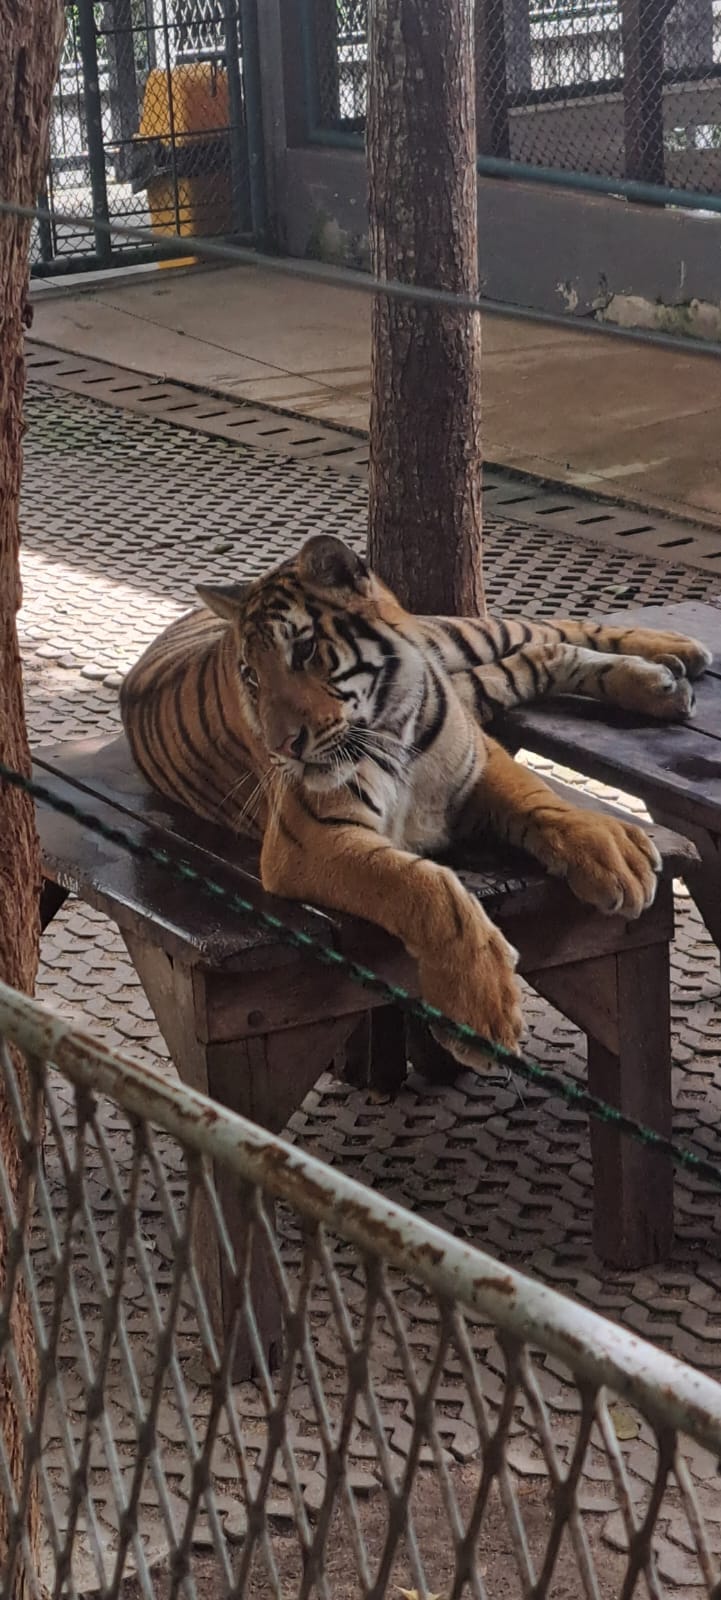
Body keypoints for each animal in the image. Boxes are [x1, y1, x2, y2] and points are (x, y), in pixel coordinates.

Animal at [120, 534, 711, 1067]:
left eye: (304, 651)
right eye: (250, 676)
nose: (281, 746)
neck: (389, 724)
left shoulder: (477, 760)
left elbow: (539, 797)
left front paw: (610, 851)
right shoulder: (306, 837)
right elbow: (425, 887)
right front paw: (481, 1013)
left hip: (459, 636)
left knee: (548, 629)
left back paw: (675, 654)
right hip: (474, 679)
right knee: (535, 655)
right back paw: (666, 679)